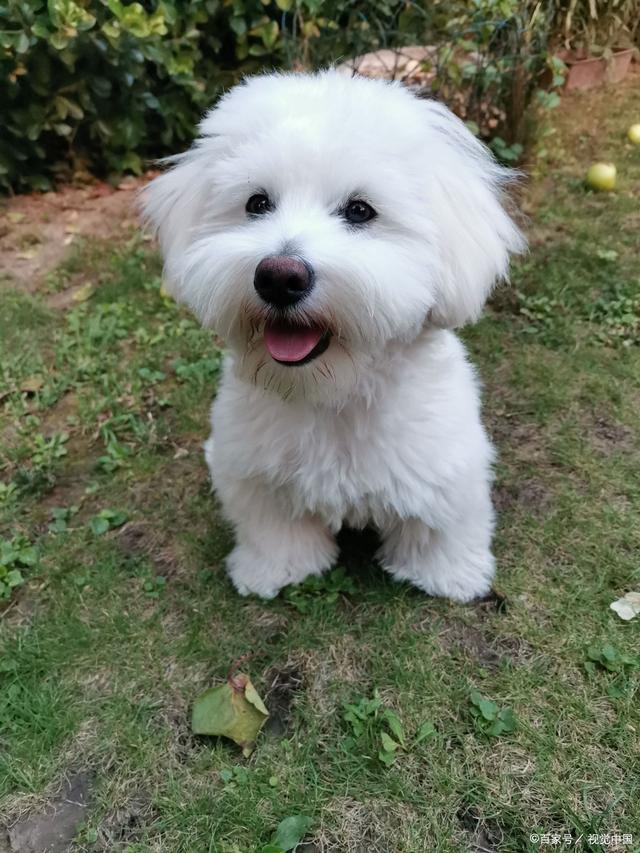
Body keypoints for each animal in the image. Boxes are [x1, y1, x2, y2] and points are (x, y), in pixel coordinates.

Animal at [143, 70, 525, 601]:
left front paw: (448, 574)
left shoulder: (444, 463)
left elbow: (440, 523)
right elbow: (273, 528)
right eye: (257, 203)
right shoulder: (257, 473)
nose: (279, 277)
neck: (331, 392)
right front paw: (276, 569)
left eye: (360, 210)